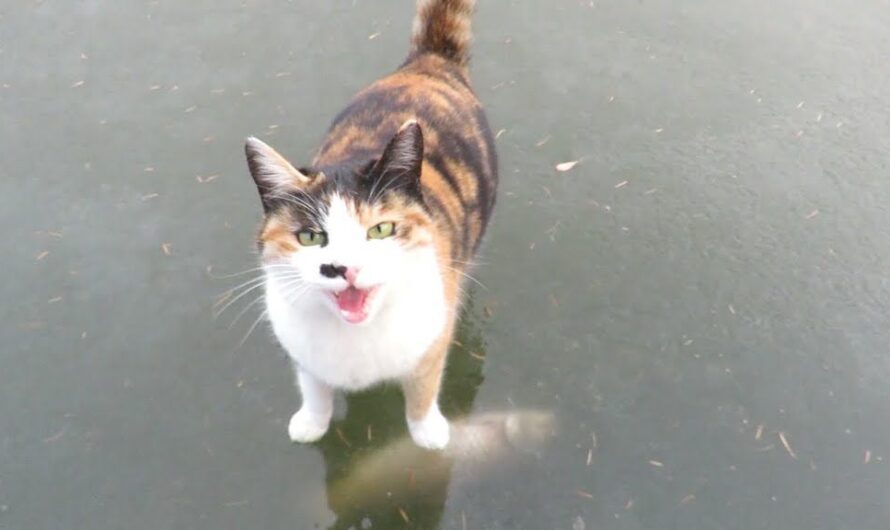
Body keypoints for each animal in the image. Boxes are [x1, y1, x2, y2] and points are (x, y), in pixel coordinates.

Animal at [239, 0, 496, 448]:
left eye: (381, 229)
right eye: (311, 236)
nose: (343, 268)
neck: (357, 336)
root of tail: (429, 62)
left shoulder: (432, 336)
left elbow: (424, 385)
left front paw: (427, 432)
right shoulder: (303, 350)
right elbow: (313, 385)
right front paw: (312, 421)